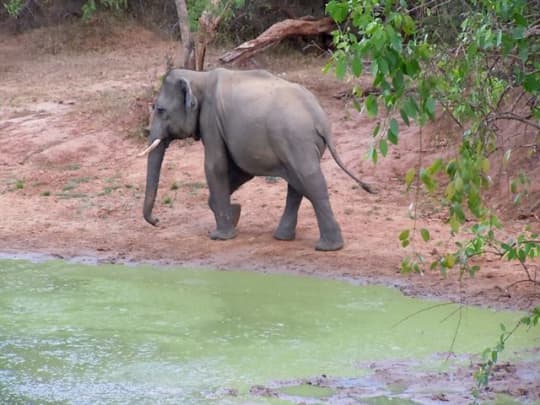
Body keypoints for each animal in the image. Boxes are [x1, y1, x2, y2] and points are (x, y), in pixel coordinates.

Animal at [139, 68, 374, 251]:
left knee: (310, 182)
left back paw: (328, 247)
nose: (157, 221)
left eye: (160, 109)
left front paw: (220, 236)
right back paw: (283, 237)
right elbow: (240, 171)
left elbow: (216, 166)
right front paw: (234, 214)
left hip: (297, 140)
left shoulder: (210, 119)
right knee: (297, 183)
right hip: (297, 146)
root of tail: (321, 120)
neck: (199, 76)